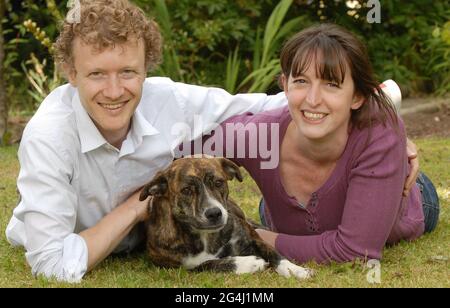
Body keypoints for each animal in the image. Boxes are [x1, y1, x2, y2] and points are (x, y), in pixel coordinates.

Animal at [140, 156, 312, 280]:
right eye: (187, 190)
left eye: (218, 182)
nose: (214, 213)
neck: (206, 237)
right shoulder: (180, 267)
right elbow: (209, 264)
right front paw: (248, 263)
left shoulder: (253, 238)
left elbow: (275, 254)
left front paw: (296, 270)